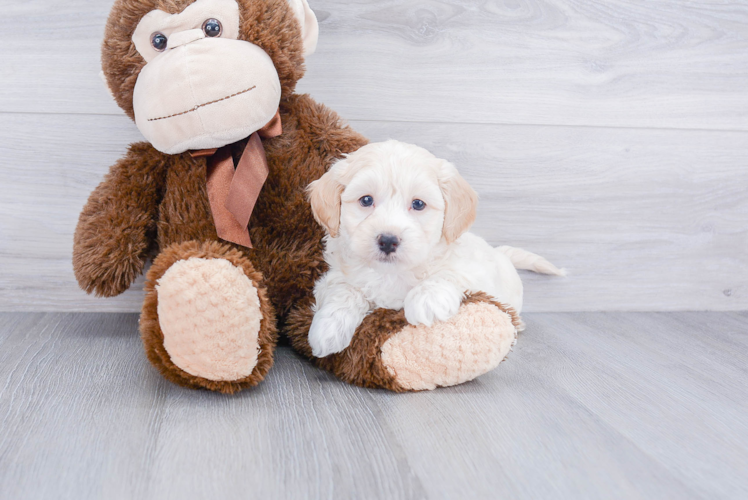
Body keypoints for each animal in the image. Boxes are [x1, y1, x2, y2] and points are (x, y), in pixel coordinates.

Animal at [306, 141, 560, 358]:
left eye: (418, 204)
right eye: (366, 200)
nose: (388, 240)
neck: (392, 273)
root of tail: (500, 253)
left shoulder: (472, 271)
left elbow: (448, 273)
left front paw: (427, 300)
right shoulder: (334, 277)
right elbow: (344, 290)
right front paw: (328, 328)